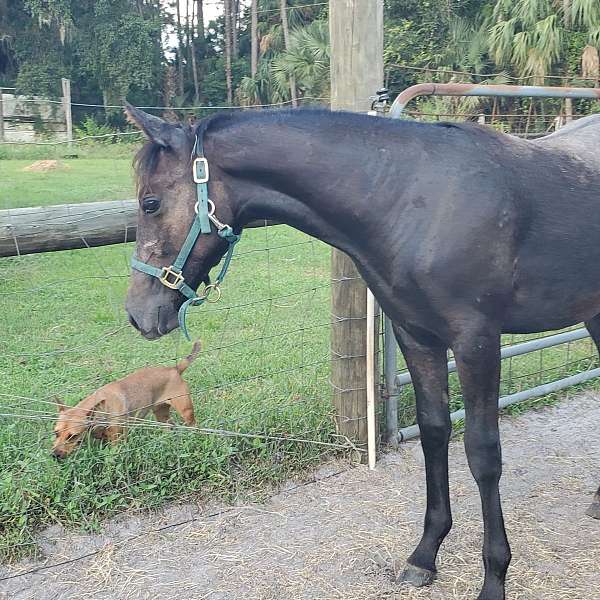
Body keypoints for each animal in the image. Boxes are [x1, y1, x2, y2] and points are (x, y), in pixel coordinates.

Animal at [51, 342, 202, 460]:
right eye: (56, 433)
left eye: (72, 436)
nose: (55, 455)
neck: (102, 408)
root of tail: (175, 369)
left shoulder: (117, 441)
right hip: (161, 415)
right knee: (170, 427)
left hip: (186, 412)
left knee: (194, 426)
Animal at [123, 103, 600, 600]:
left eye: (150, 203)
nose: (139, 314)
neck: (415, 197)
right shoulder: (417, 336)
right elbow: (434, 432)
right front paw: (424, 556)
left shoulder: (477, 342)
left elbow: (483, 454)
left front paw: (493, 578)